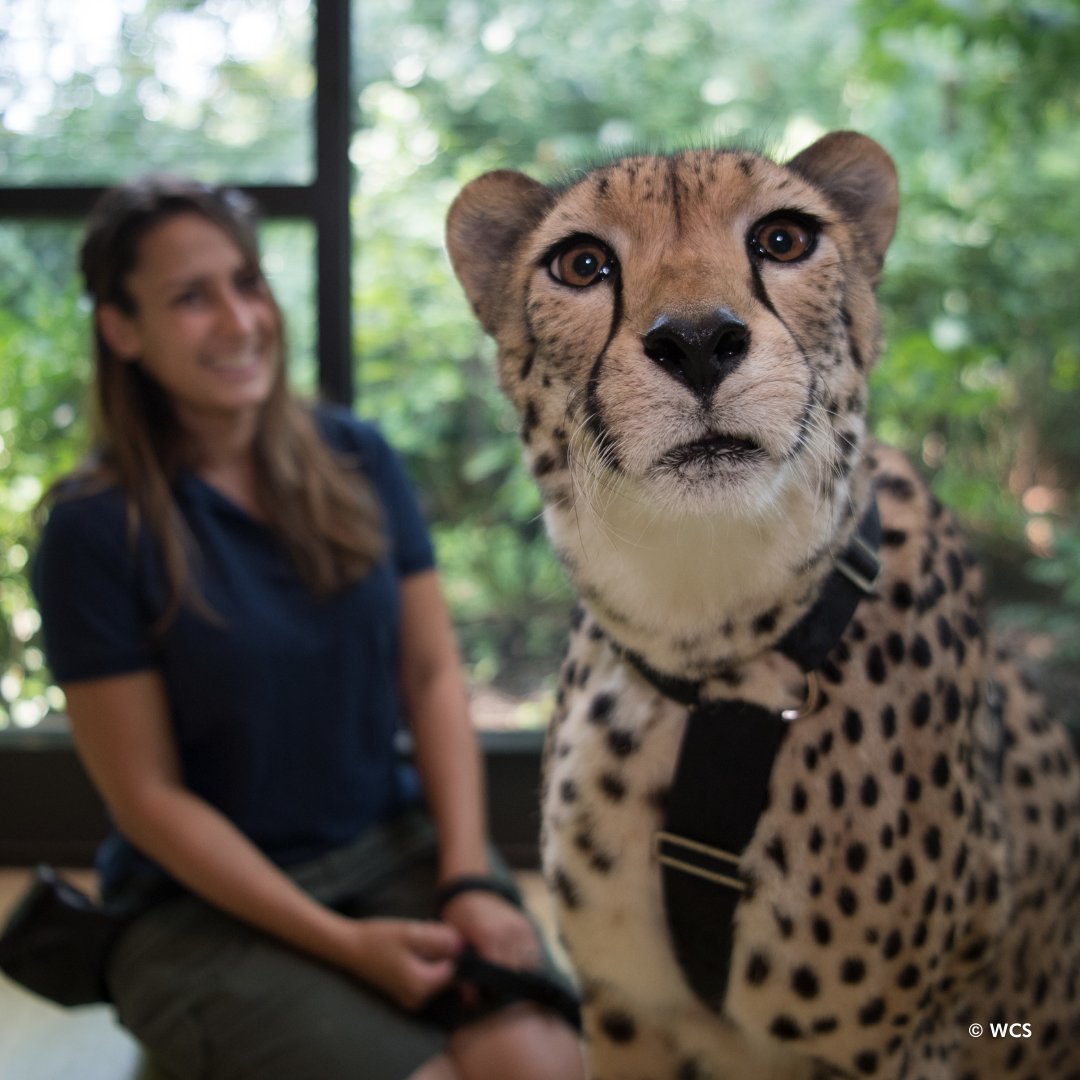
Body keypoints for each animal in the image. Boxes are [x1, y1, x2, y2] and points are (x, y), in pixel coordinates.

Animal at [447, 130, 1080, 1075]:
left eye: (784, 240)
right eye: (582, 263)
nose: (698, 341)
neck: (708, 640)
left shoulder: (901, 1044)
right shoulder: (629, 1008)